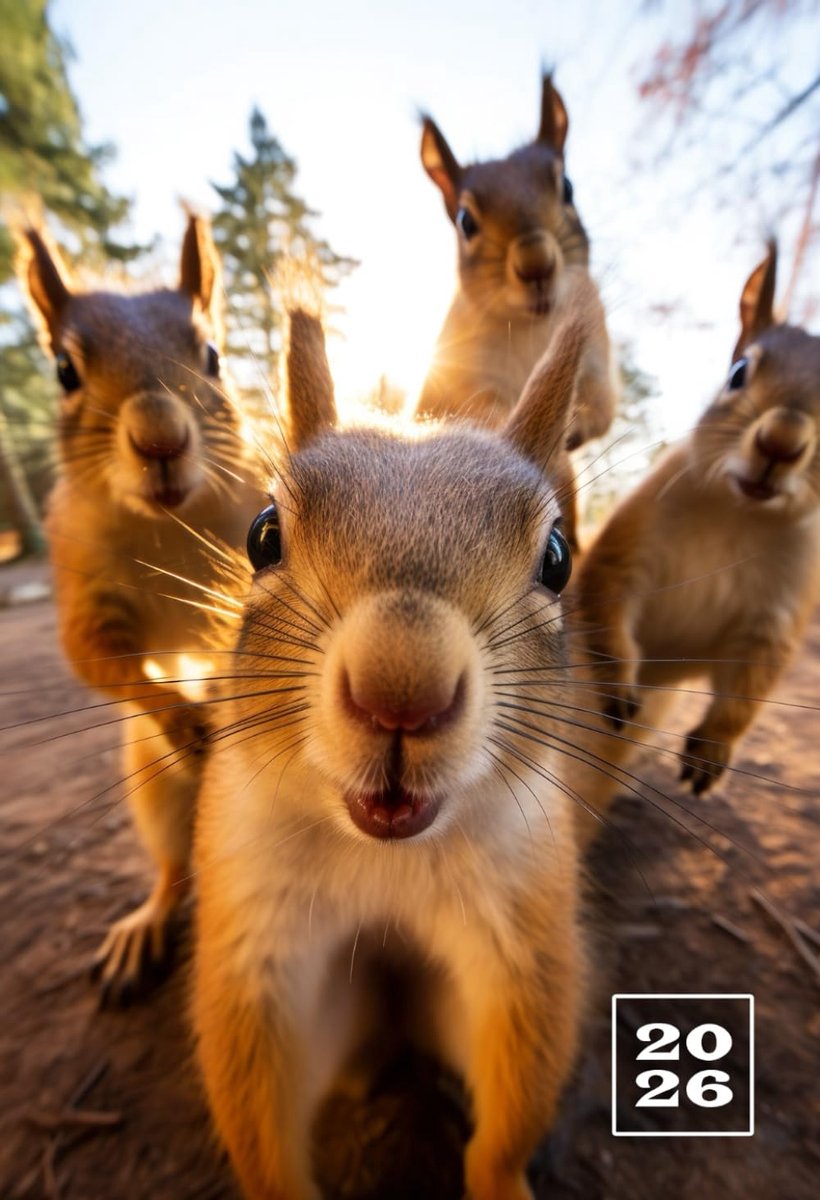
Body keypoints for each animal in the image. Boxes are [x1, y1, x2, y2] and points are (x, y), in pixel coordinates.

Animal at [21, 215, 267, 1002]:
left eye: (214, 356)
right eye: (64, 372)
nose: (160, 438)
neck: (169, 522)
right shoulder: (82, 581)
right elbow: (96, 657)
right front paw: (183, 717)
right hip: (152, 789)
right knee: (173, 867)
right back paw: (146, 926)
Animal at [193, 305, 589, 1200]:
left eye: (558, 560)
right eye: (262, 536)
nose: (401, 689)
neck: (384, 854)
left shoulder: (524, 937)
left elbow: (515, 1091)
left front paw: (501, 1181)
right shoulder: (254, 946)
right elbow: (257, 1104)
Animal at [571, 240, 820, 813]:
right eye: (738, 373)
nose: (781, 442)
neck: (740, 515)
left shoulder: (781, 604)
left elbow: (751, 682)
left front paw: (711, 751)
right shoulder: (633, 540)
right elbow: (608, 600)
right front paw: (617, 683)